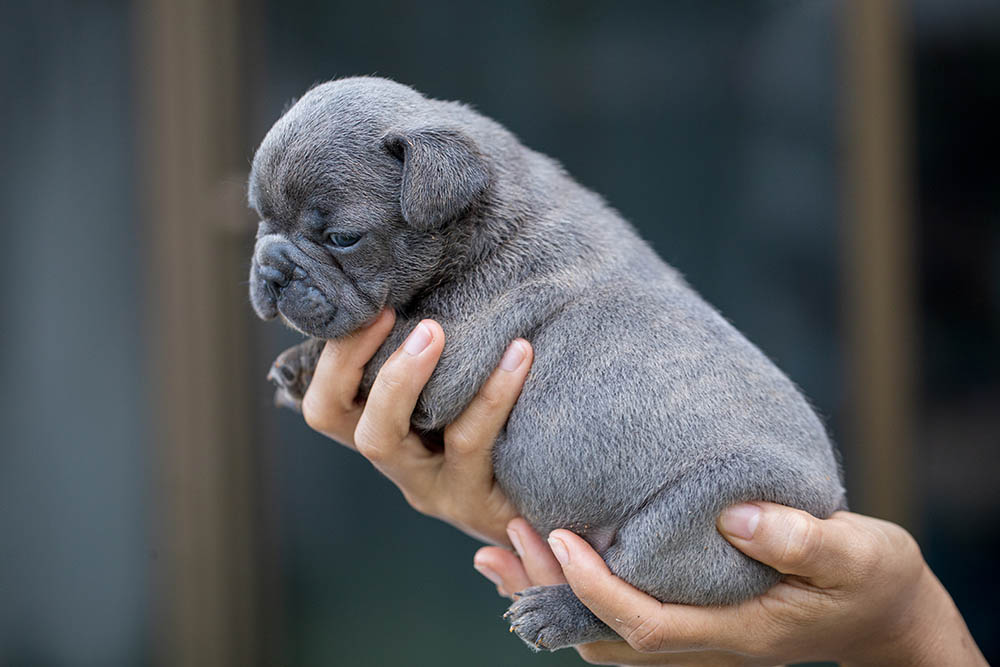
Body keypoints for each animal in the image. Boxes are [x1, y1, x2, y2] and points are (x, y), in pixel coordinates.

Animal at [246, 78, 848, 652]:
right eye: (260, 219)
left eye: (341, 238)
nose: (271, 269)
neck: (481, 207)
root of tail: (828, 506)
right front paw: (296, 366)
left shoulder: (446, 340)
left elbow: (379, 341)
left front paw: (307, 360)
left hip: (701, 513)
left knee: (628, 592)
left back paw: (560, 613)